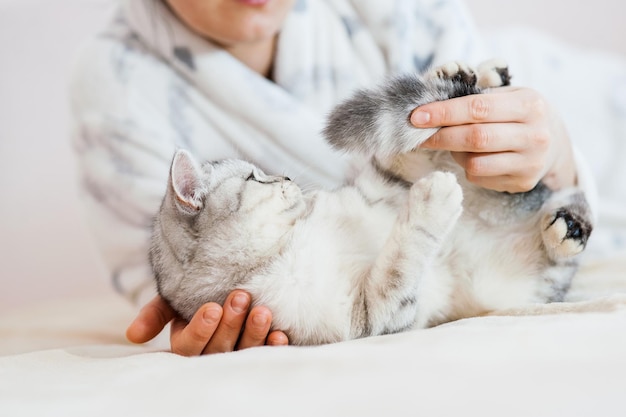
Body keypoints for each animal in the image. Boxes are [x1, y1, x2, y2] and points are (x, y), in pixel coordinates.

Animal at [150, 59, 588, 344]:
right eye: (254, 177)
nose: (287, 177)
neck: (292, 240)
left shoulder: (382, 186)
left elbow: (407, 156)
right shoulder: (370, 317)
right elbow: (401, 260)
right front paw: (435, 199)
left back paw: (471, 74)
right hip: (504, 287)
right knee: (557, 262)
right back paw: (565, 232)